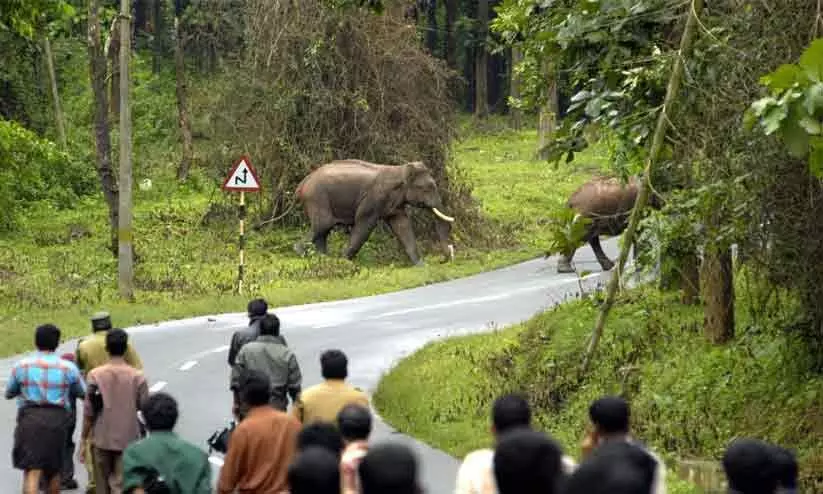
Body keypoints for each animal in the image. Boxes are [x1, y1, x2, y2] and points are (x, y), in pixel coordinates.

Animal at [292, 159, 458, 266]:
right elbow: (364, 226)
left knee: (323, 231)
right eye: (427, 188)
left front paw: (421, 266)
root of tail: (302, 184)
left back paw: (323, 259)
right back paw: (302, 253)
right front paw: (345, 262)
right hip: (317, 199)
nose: (444, 259)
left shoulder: (394, 204)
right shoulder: (373, 199)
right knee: (323, 225)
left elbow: (402, 226)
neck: (400, 169)